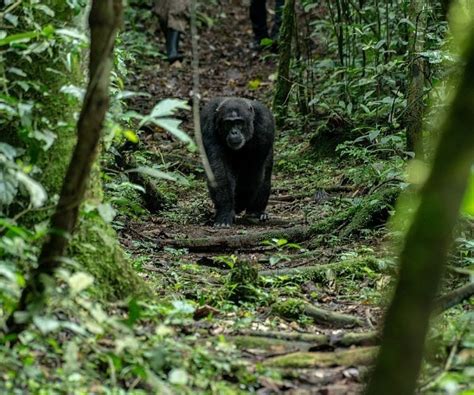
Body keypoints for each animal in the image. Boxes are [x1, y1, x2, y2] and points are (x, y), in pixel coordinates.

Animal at [200, 97, 274, 227]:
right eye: (228, 123)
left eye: (239, 123)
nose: (234, 132)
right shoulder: (207, 122)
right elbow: (219, 169)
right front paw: (225, 212)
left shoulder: (265, 126)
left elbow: (252, 169)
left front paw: (239, 204)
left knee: (265, 176)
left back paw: (256, 212)